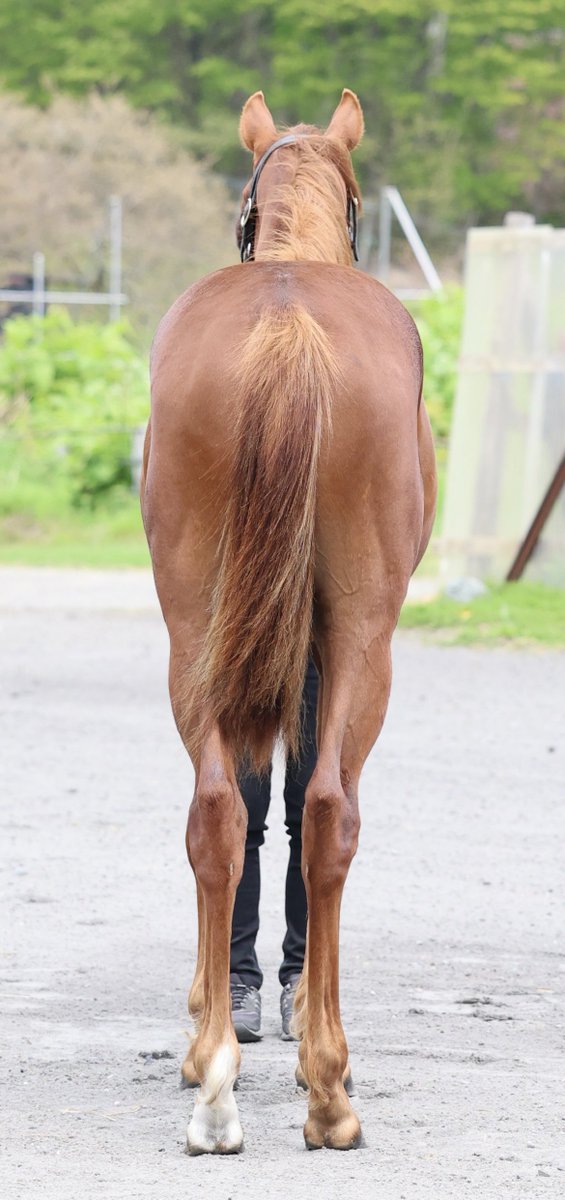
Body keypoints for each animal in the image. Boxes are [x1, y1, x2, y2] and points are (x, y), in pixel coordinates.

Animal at [141, 88, 437, 1155]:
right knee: (327, 812)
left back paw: (215, 1082)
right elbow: (310, 793)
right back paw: (328, 1089)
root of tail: (285, 319)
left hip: (194, 627)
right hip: (361, 639)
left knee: (218, 808)